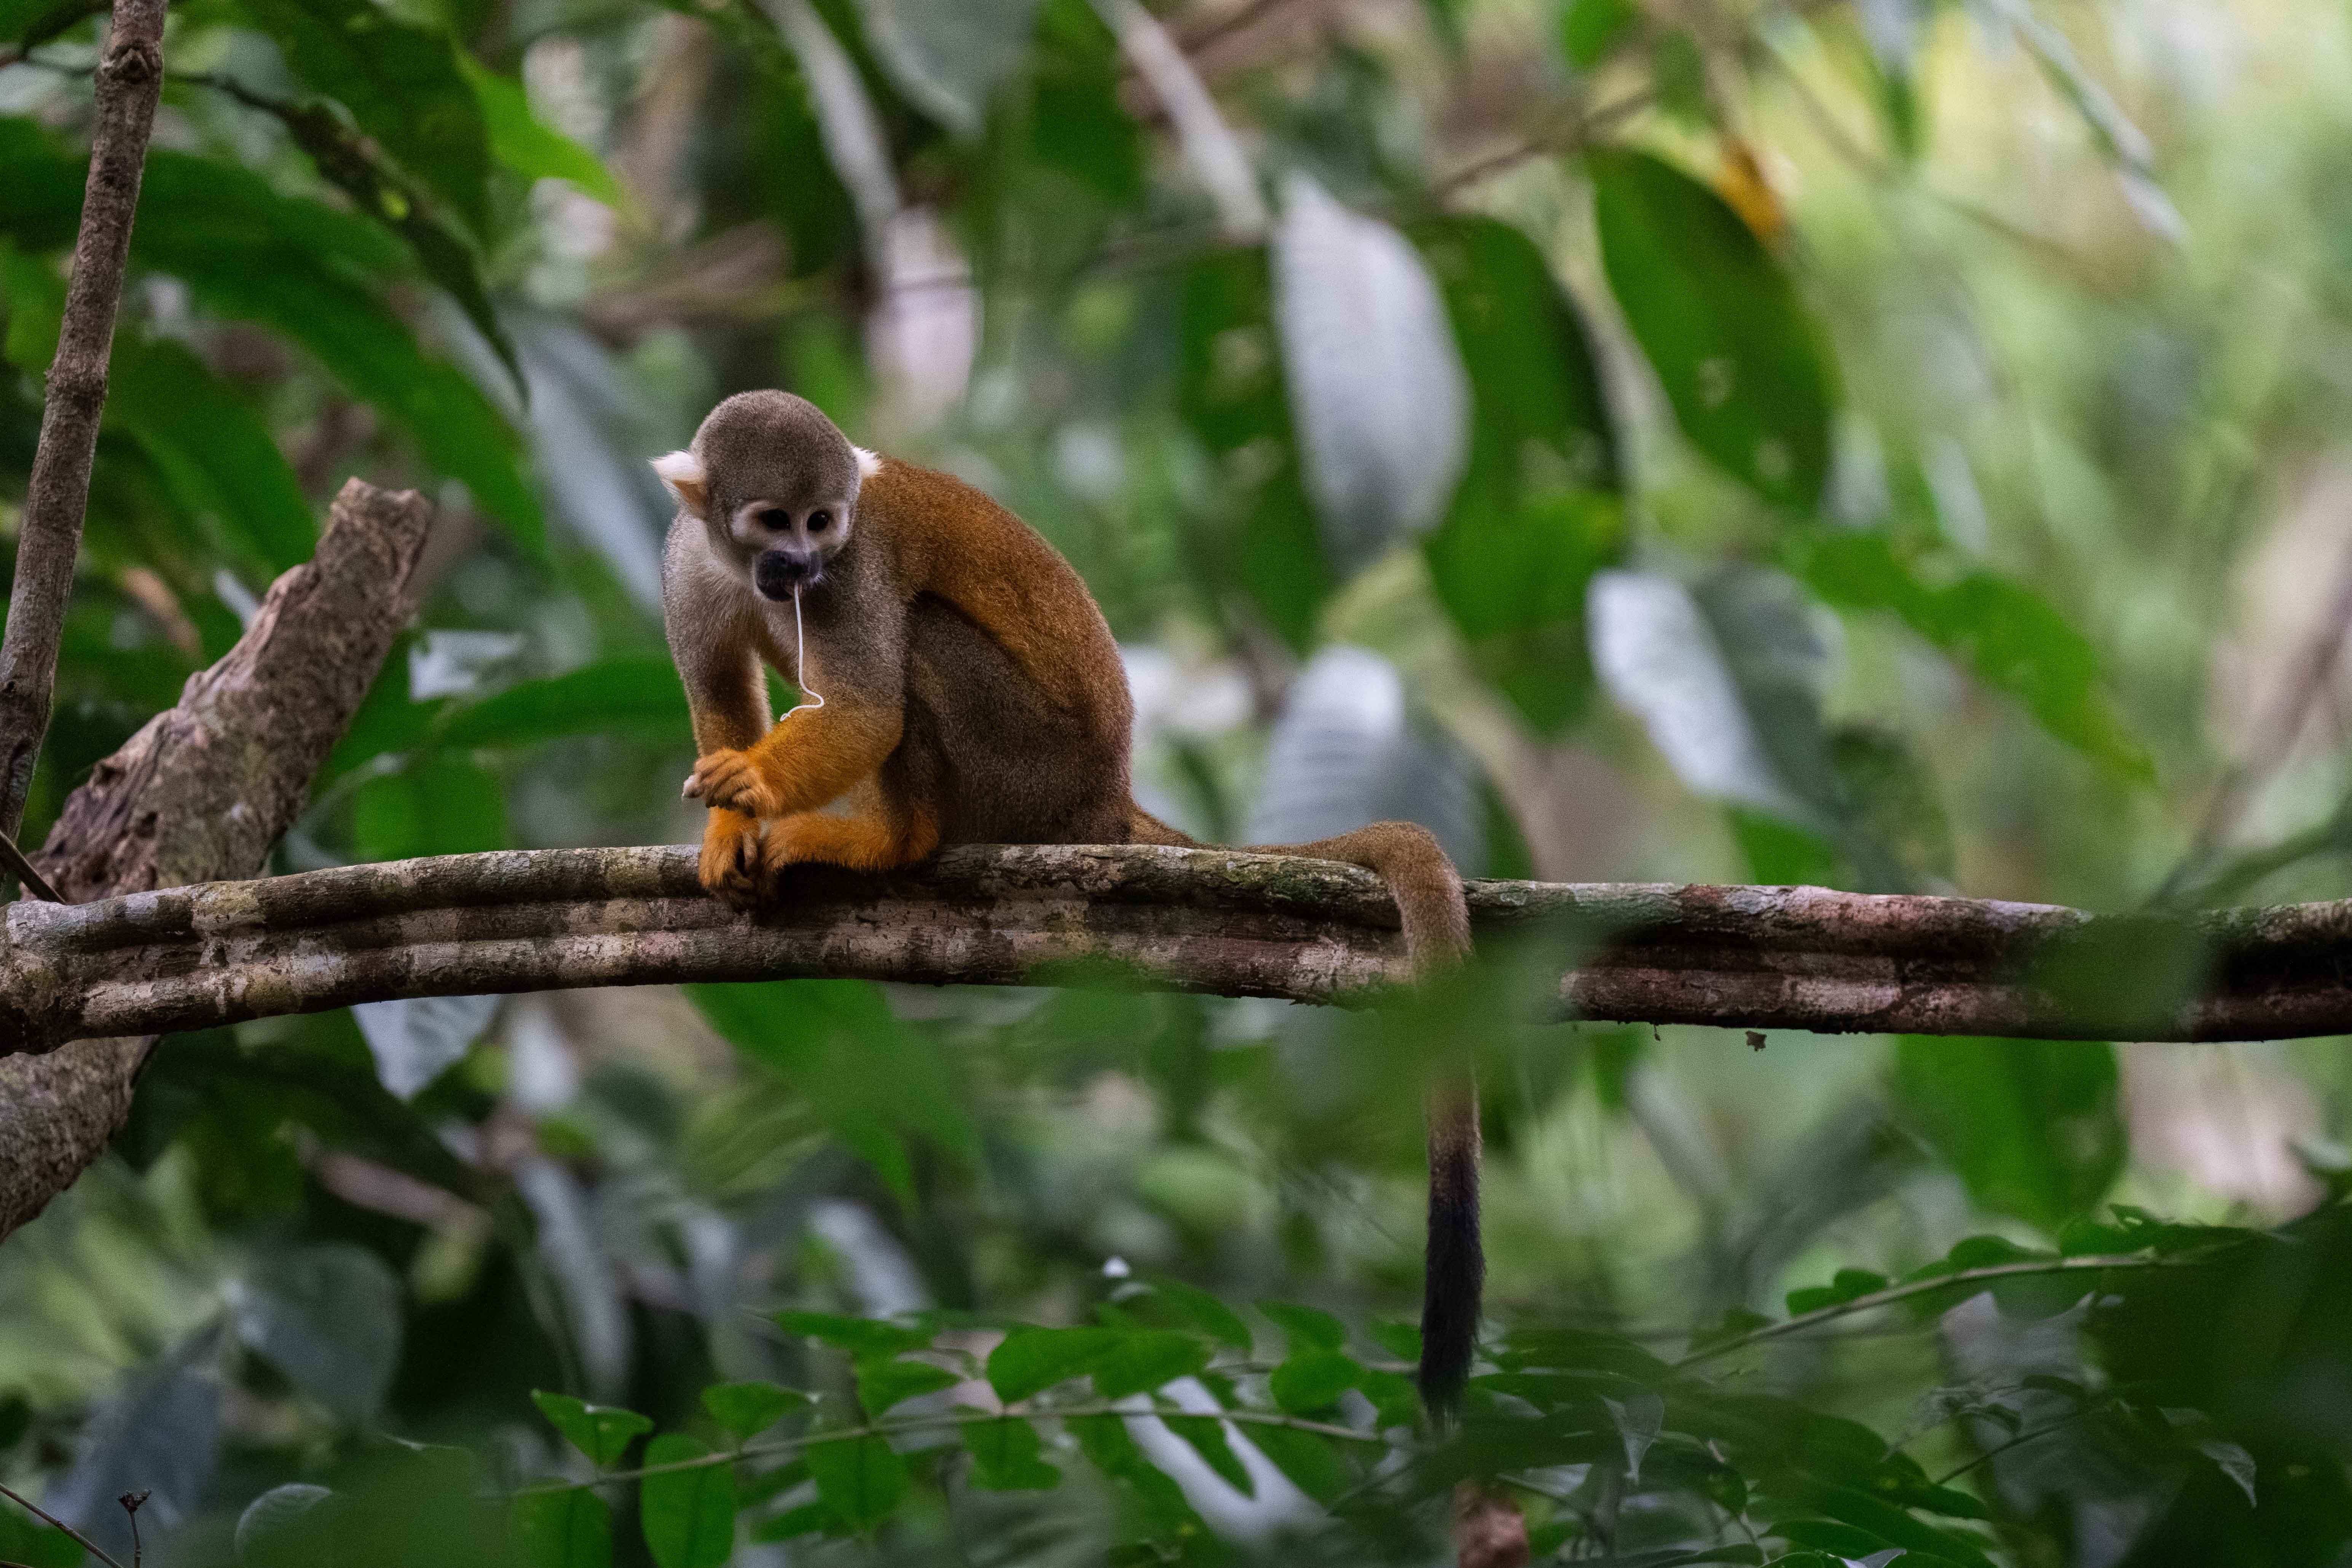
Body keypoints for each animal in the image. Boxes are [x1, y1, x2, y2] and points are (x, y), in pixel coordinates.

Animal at [653, 389, 1482, 1416]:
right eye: (775, 520)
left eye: (825, 522)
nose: (800, 563)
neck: (749, 566)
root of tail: (1100, 796)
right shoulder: (689, 566)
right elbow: (721, 688)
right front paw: (729, 825)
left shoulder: (856, 574)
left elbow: (867, 711)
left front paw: (756, 790)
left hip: (1022, 765)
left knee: (917, 640)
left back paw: (895, 838)